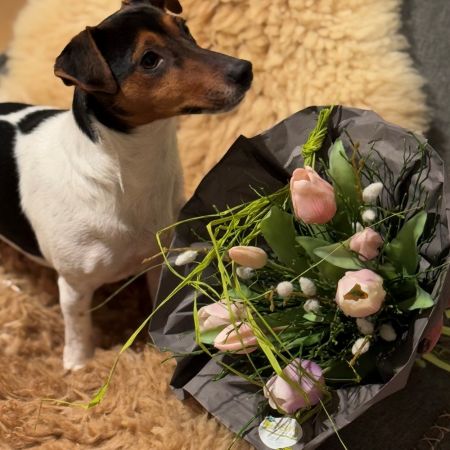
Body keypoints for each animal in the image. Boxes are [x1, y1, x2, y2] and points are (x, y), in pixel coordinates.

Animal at [0, 0, 253, 370]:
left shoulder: (157, 259)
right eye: (149, 59)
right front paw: (79, 365)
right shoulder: (74, 285)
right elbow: (78, 328)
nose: (245, 69)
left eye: (185, 29)